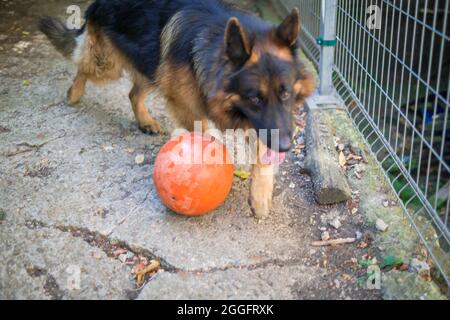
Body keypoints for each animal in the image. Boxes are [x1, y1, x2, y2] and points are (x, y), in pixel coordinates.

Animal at [40, 0, 316, 219]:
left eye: (285, 94)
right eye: (255, 98)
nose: (286, 147)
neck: (213, 50)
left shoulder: (264, 123)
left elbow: (262, 153)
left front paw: (260, 197)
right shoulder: (185, 105)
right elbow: (203, 135)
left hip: (152, 67)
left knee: (133, 93)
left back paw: (145, 121)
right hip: (109, 65)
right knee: (81, 64)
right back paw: (73, 94)